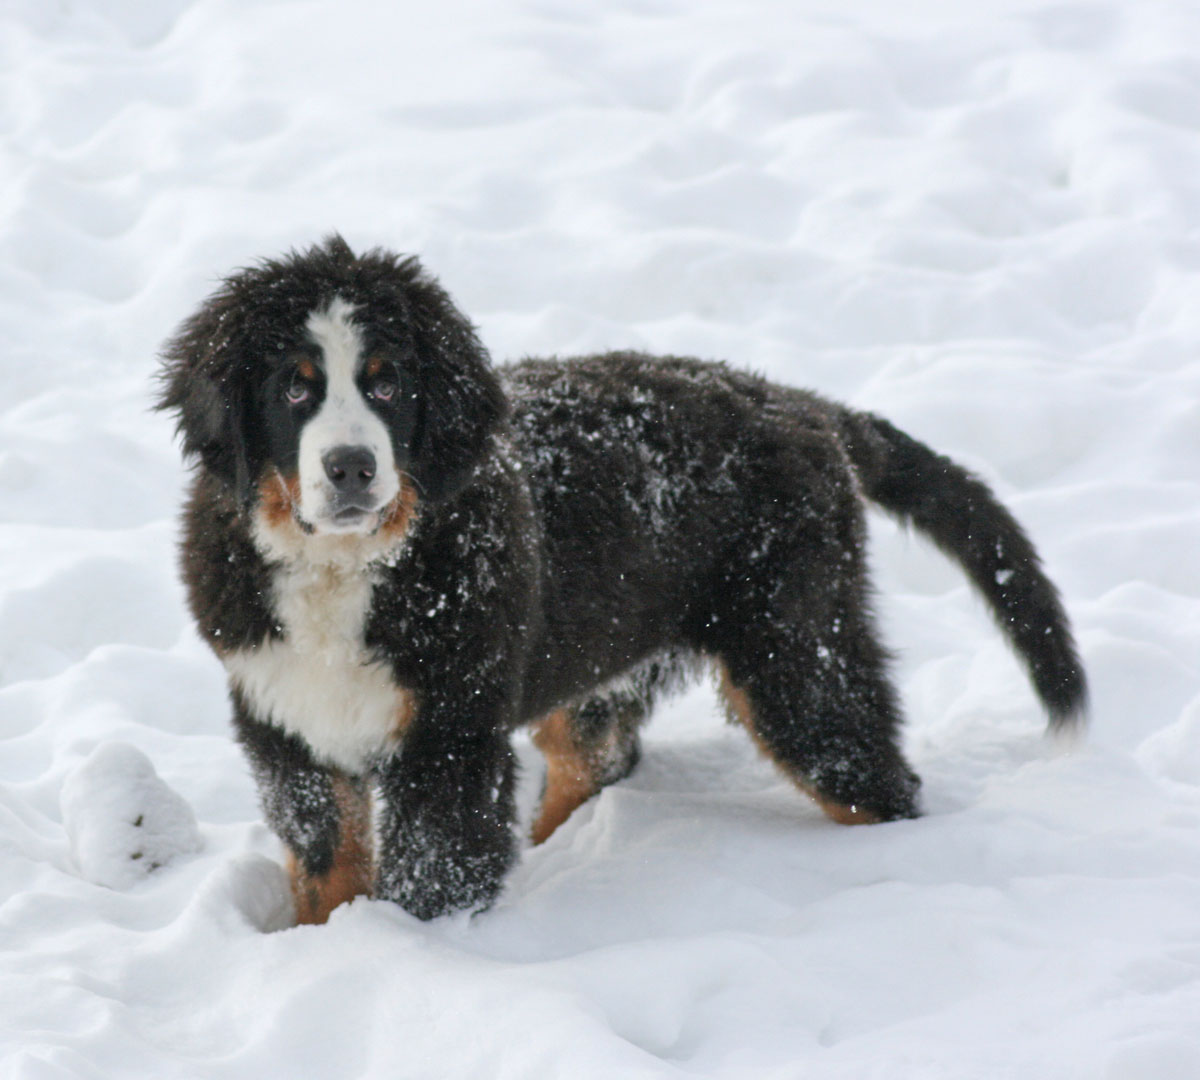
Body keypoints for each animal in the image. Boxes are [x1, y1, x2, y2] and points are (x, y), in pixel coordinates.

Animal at [157, 240, 1089, 921]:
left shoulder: (449, 737)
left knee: (868, 773)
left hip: (796, 652)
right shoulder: (284, 719)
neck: (350, 567)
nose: (350, 468)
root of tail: (800, 406)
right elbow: (326, 862)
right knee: (597, 755)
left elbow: (432, 874)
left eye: (388, 384)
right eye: (294, 390)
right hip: (606, 654)